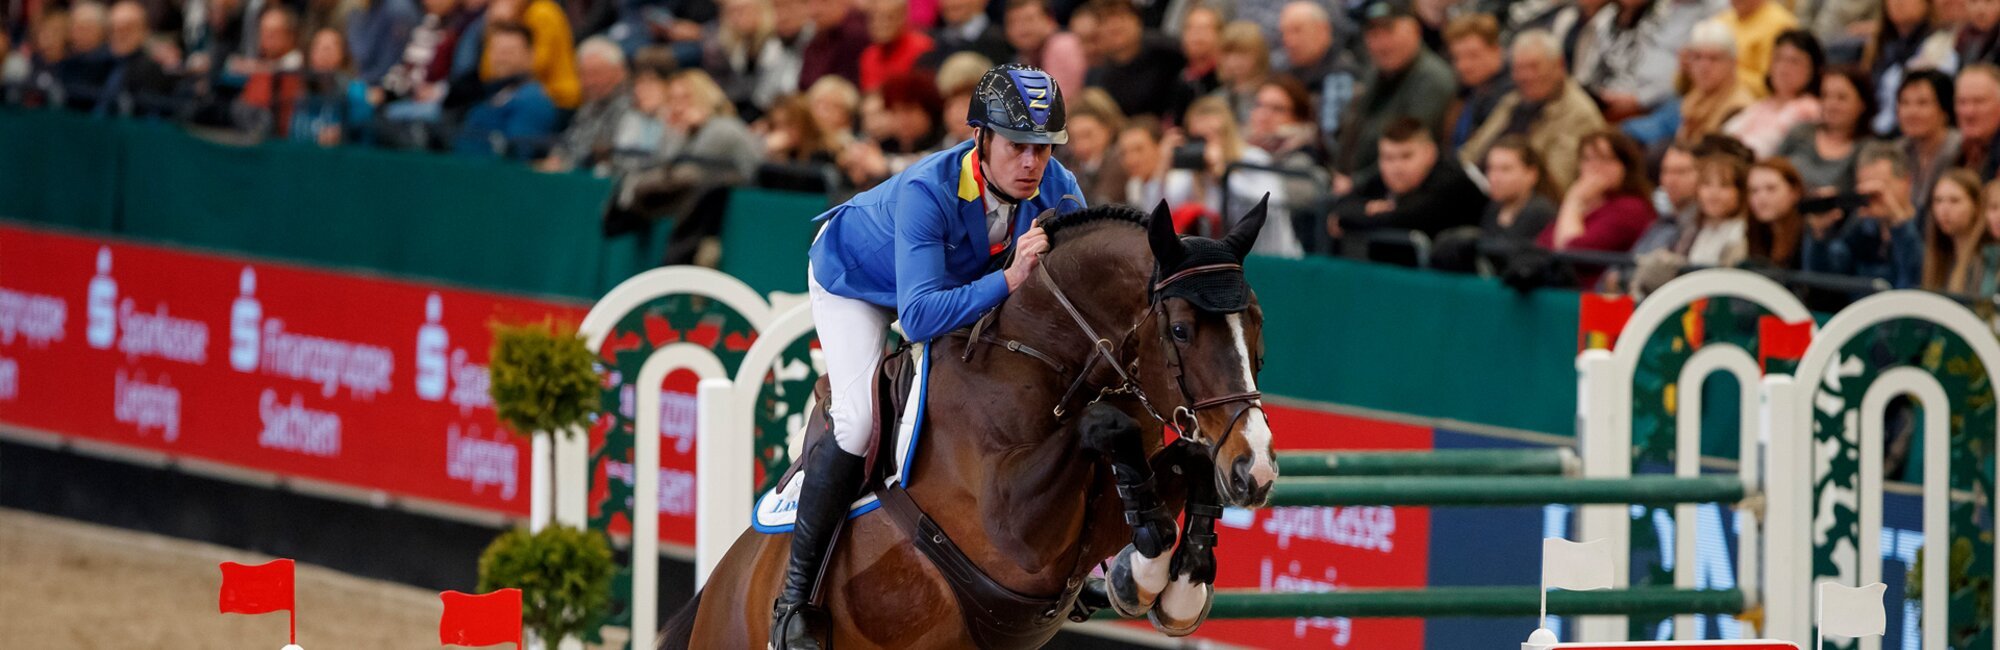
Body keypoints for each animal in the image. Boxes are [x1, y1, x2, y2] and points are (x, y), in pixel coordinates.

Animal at [662, 199, 1280, 649]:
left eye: (1256, 322)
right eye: (1179, 331)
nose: (1256, 470)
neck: (1048, 354)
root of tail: (715, 590)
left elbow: (1189, 457)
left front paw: (1181, 582)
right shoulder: (1013, 532)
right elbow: (1105, 426)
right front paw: (1147, 566)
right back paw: (795, 621)